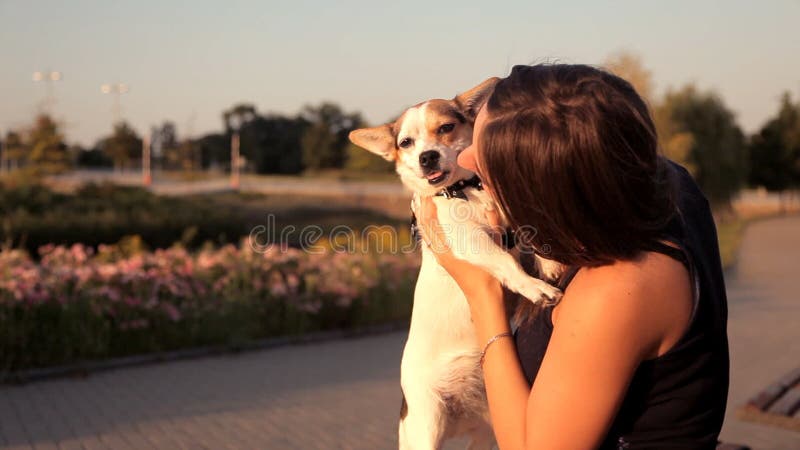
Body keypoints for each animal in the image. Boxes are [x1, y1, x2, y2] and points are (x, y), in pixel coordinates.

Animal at [350, 79, 564, 448]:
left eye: (446, 128)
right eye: (406, 143)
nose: (427, 156)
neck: (467, 191)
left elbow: (530, 230)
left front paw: (547, 262)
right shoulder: (468, 238)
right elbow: (505, 263)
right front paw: (535, 286)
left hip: (486, 433)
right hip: (426, 426)